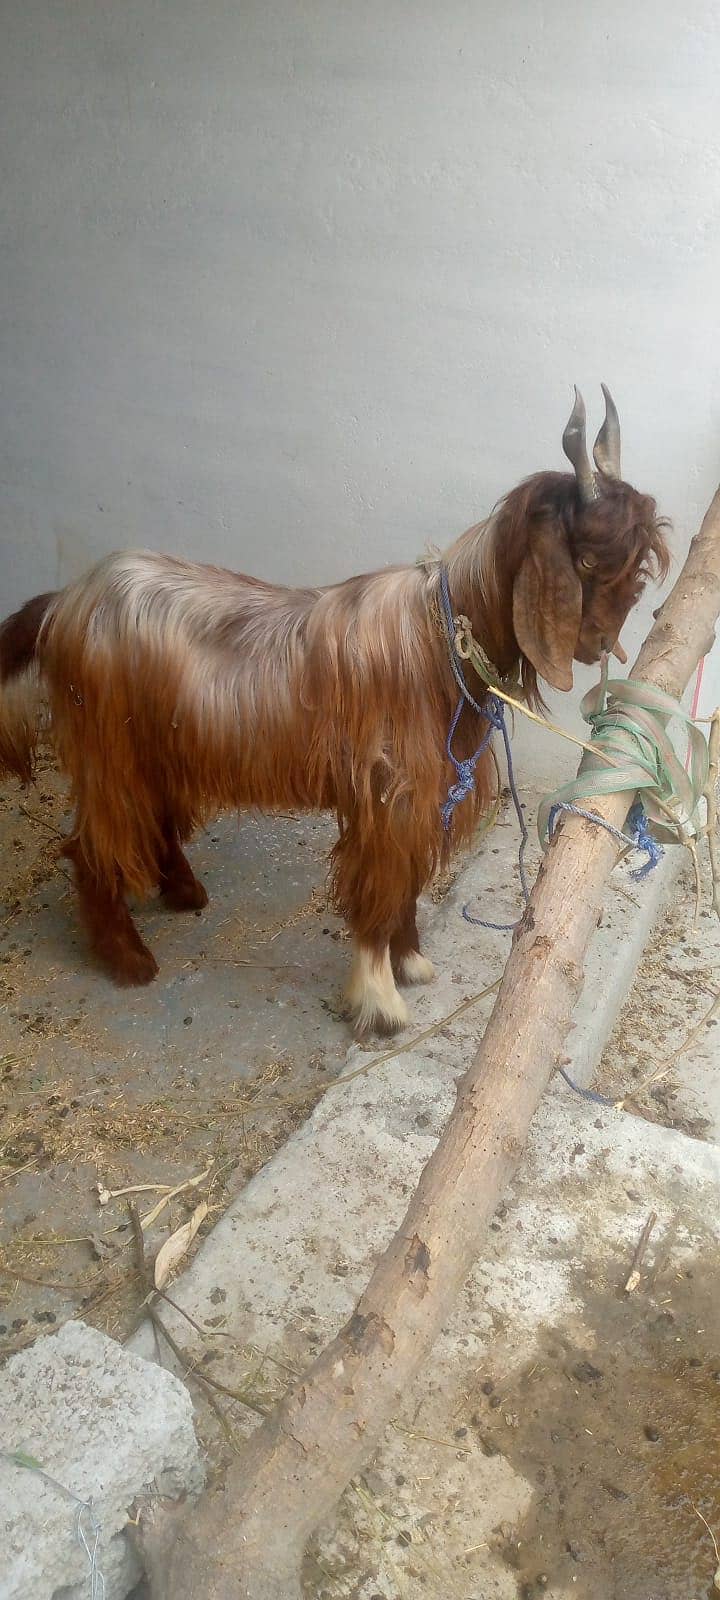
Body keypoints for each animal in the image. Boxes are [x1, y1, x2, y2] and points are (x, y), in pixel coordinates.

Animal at [0, 388, 669, 1034]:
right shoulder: (386, 795)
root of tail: (65, 601)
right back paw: (129, 959)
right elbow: (379, 889)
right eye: (587, 560)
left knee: (152, 823)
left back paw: (185, 893)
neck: (439, 643)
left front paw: (411, 961)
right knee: (91, 847)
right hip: (109, 751)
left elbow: (405, 885)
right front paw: (380, 1000)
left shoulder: (421, 798)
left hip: (158, 745)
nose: (600, 645)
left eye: (635, 563)